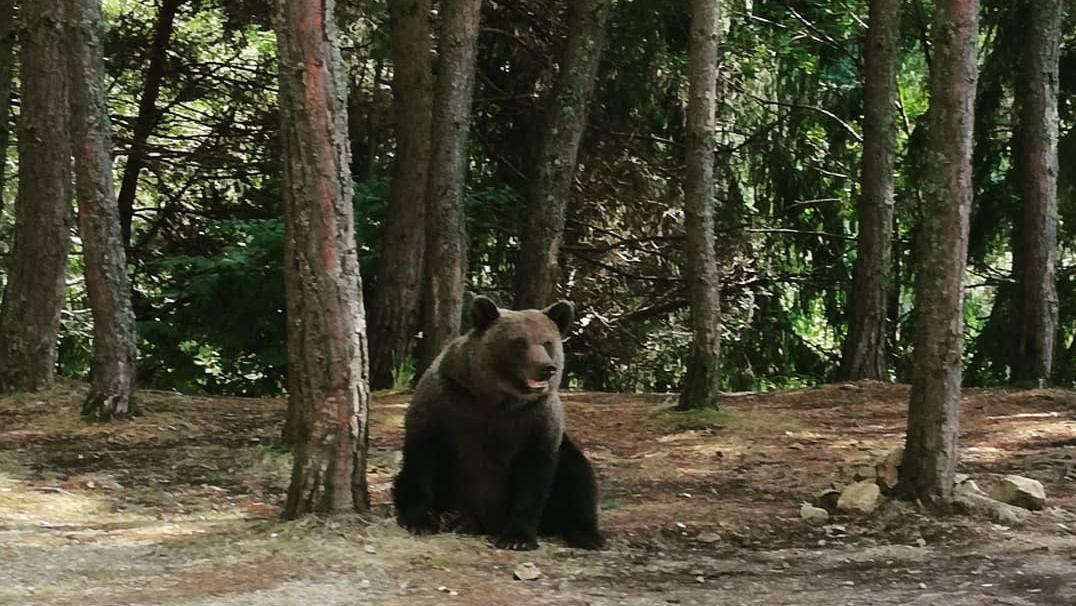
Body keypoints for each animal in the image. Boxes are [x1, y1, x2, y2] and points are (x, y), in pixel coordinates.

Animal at [392, 296, 604, 551]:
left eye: (547, 342)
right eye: (519, 342)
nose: (547, 368)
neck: (498, 400)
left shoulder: (536, 421)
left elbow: (534, 477)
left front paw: (518, 538)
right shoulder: (445, 401)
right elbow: (423, 457)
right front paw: (419, 521)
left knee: (579, 477)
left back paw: (587, 535)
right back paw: (456, 518)